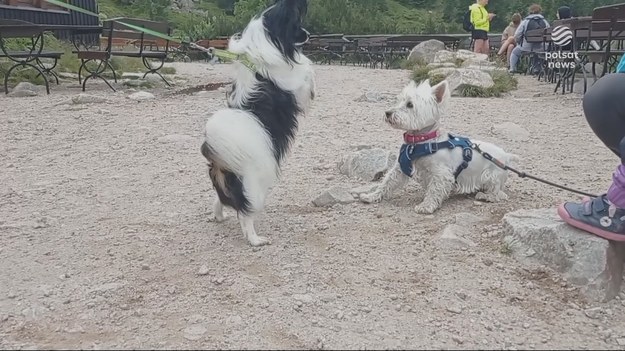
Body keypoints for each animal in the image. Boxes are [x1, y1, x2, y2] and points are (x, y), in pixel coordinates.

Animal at [201, 0, 314, 248]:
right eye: (296, 25)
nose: (309, 35)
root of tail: (220, 160)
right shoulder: (294, 81)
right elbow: (307, 71)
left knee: (220, 199)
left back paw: (218, 216)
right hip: (255, 187)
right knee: (245, 214)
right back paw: (255, 240)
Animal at [358, 78, 520, 213]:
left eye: (410, 104)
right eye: (399, 101)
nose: (387, 113)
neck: (419, 142)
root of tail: (506, 156)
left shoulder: (441, 173)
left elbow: (434, 190)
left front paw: (426, 206)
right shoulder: (400, 168)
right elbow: (387, 182)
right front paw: (371, 196)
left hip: (492, 176)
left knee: (498, 193)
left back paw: (484, 196)